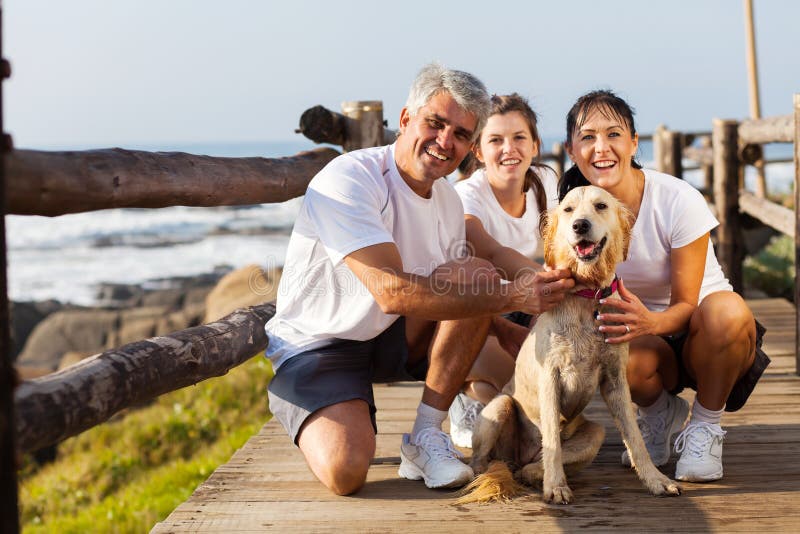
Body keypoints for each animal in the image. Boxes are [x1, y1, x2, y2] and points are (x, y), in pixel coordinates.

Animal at [462, 185, 680, 506]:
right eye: (568, 210)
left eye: (601, 206)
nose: (580, 226)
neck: (587, 293)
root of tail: (516, 458)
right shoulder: (550, 377)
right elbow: (552, 436)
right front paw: (556, 486)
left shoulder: (616, 379)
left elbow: (635, 438)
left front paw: (656, 480)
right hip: (500, 406)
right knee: (482, 460)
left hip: (596, 432)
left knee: (532, 466)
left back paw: (530, 472)